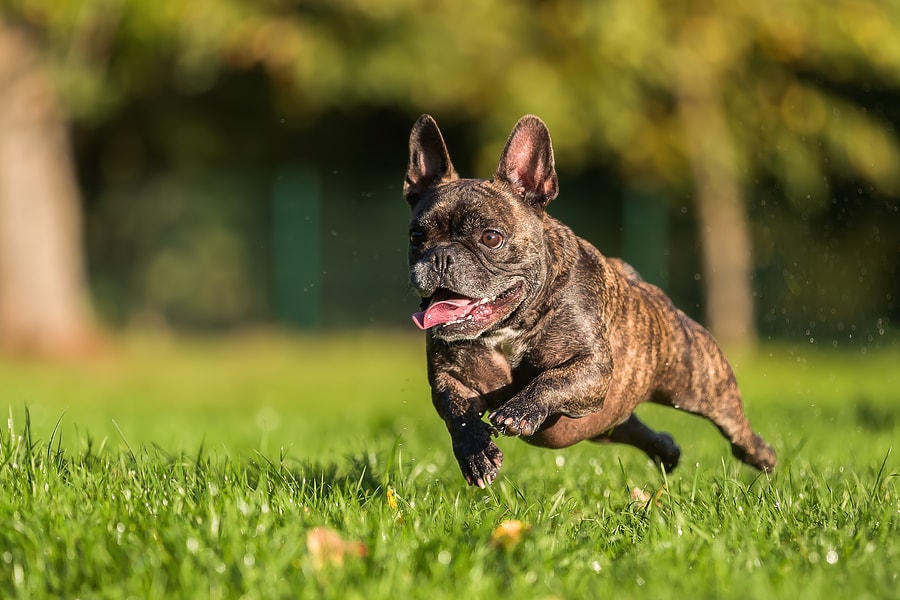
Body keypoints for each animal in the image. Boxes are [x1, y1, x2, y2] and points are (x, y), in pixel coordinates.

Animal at [402, 113, 772, 488]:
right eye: (416, 236)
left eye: (491, 238)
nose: (441, 257)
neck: (509, 326)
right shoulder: (450, 378)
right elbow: (456, 411)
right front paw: (476, 455)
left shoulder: (592, 366)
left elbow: (551, 380)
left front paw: (519, 412)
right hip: (603, 421)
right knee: (631, 428)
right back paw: (666, 451)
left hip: (701, 387)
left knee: (736, 428)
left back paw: (763, 456)